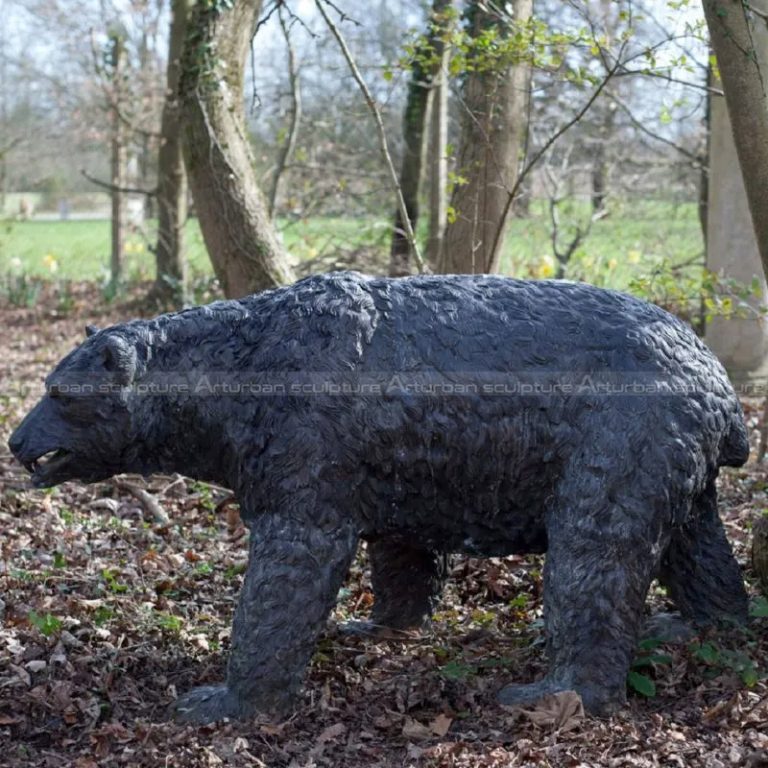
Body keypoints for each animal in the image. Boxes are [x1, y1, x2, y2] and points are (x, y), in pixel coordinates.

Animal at [8, 271, 749, 723]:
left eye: (58, 394)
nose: (16, 442)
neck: (235, 375)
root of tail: (718, 379)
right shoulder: (395, 455)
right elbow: (401, 548)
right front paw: (382, 624)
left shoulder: (306, 457)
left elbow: (287, 578)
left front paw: (229, 698)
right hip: (677, 457)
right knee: (697, 542)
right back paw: (705, 625)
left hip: (622, 436)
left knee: (598, 553)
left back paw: (557, 690)